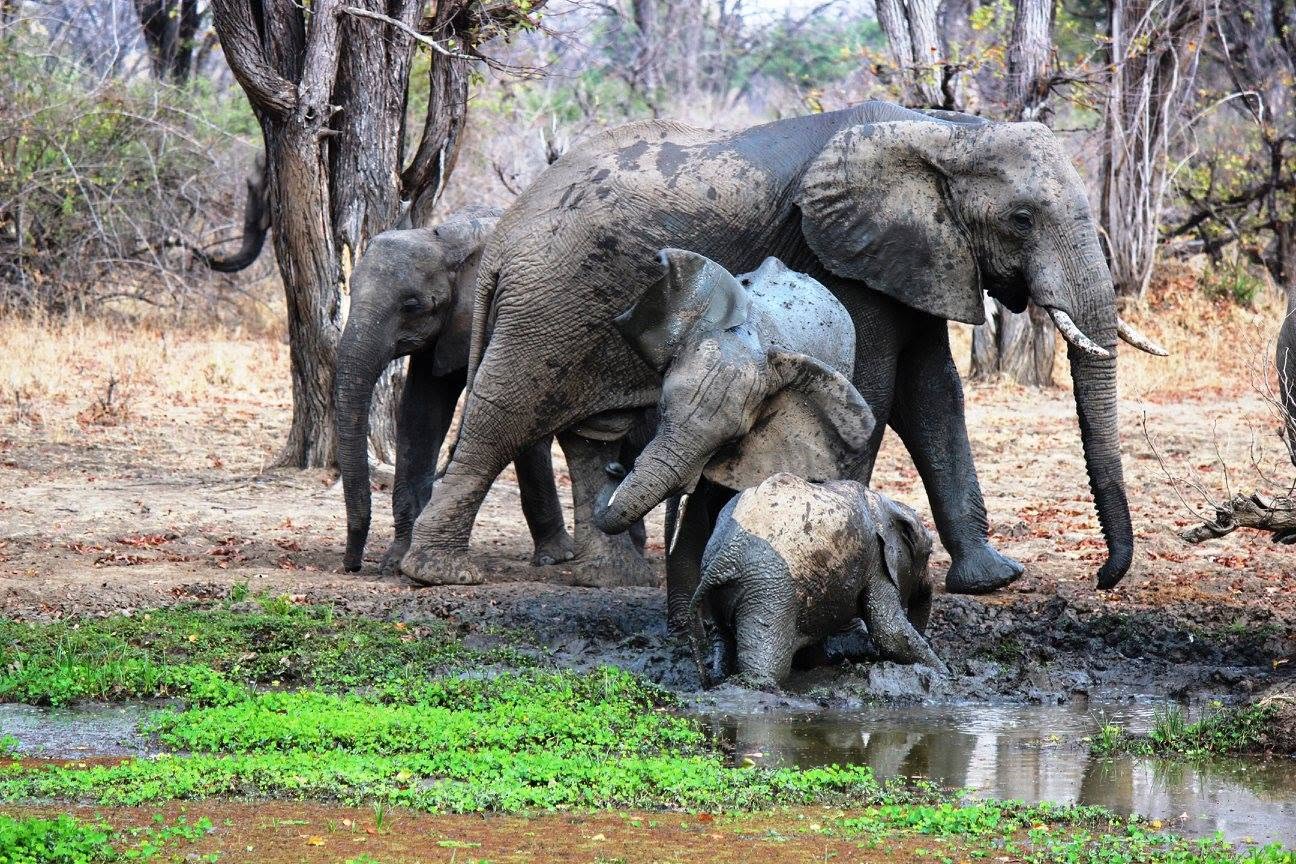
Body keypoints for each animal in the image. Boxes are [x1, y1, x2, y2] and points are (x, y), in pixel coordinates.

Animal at [334, 209, 577, 574]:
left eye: (412, 306)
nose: (352, 565)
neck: (447, 241)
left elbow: (521, 414)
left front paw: (554, 559)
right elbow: (421, 415)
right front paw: (396, 563)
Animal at [401, 100, 1167, 601]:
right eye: (1022, 218)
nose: (1106, 577)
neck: (948, 130)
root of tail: (501, 238)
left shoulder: (919, 255)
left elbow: (934, 396)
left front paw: (992, 580)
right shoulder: (840, 254)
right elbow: (881, 389)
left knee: (593, 433)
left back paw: (613, 577)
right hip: (548, 304)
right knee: (502, 417)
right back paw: (438, 574)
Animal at [691, 472, 945, 689]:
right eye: (929, 552)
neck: (886, 504)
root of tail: (726, 555)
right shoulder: (876, 561)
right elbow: (890, 632)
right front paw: (945, 673)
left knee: (721, 637)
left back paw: (716, 678)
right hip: (770, 591)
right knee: (768, 664)